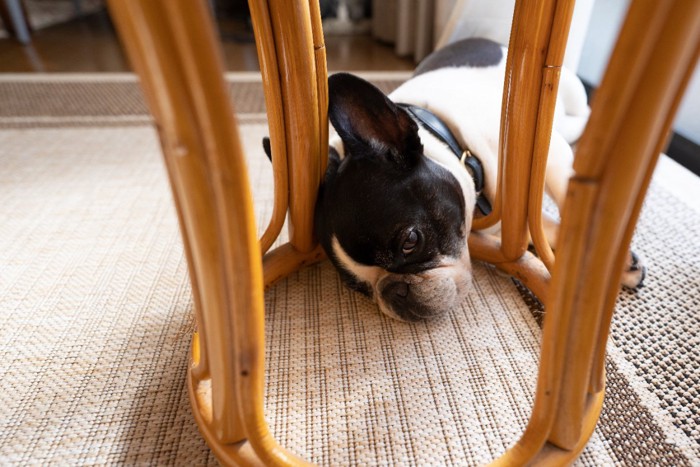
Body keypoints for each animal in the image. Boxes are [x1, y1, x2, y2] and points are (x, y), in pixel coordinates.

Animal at [272, 38, 644, 322]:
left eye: (410, 241)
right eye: (358, 288)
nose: (394, 291)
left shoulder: (548, 154)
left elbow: (568, 198)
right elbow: (543, 223)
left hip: (568, 96)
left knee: (578, 118)